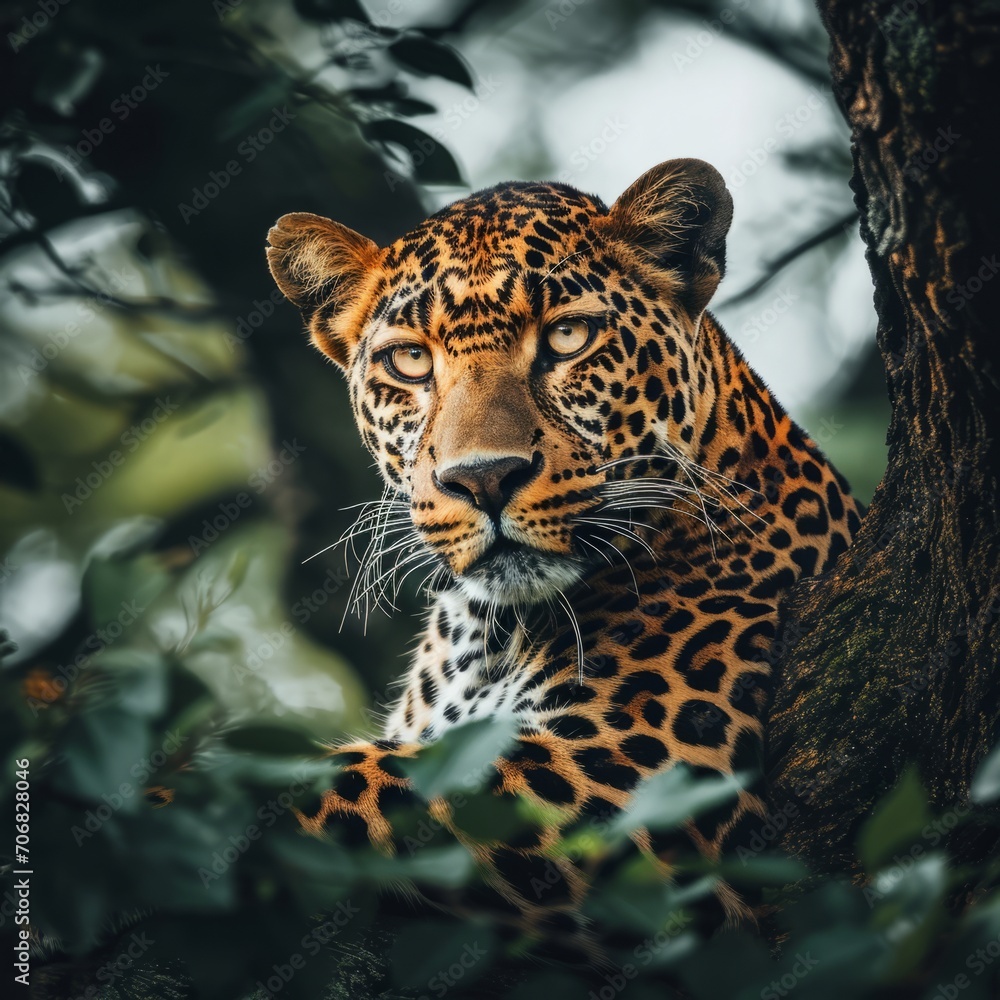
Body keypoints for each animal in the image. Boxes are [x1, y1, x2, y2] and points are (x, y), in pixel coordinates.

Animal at [266, 158, 862, 942]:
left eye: (568, 336)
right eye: (410, 361)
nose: (484, 477)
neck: (484, 636)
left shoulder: (641, 765)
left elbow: (352, 779)